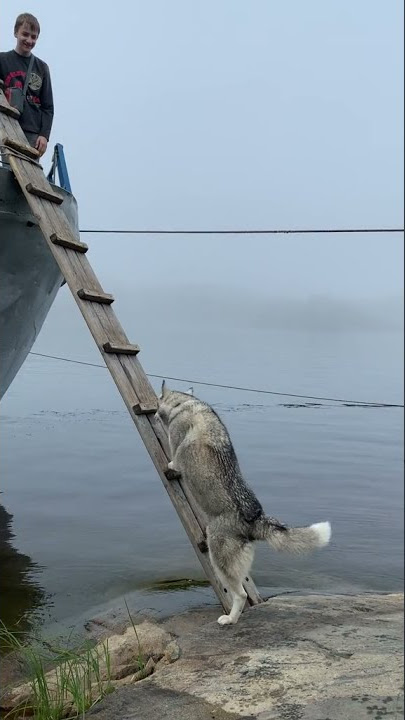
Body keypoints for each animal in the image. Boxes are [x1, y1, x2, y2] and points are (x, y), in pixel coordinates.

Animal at [156, 382, 330, 624]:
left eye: (157, 401)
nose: (154, 413)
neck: (186, 404)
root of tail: (255, 518)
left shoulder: (176, 443)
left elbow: (174, 461)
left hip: (219, 558)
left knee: (241, 594)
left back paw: (230, 619)